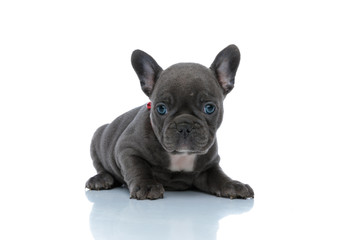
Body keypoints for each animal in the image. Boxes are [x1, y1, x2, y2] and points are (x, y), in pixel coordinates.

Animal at [86, 44, 255, 200]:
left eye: (209, 108)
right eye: (161, 109)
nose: (184, 126)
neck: (180, 155)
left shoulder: (209, 166)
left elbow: (218, 176)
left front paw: (233, 184)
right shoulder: (127, 149)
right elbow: (138, 168)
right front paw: (147, 185)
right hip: (97, 137)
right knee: (101, 167)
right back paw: (101, 179)